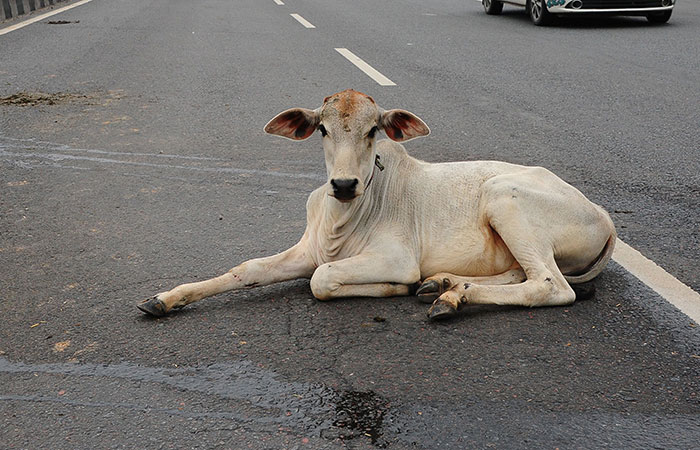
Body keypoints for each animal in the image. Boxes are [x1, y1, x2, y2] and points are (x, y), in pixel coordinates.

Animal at [135, 89, 612, 320]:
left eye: (372, 131)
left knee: (549, 285)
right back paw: (443, 285)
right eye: (322, 129)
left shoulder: (395, 258)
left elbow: (322, 279)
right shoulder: (305, 250)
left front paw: (395, 289)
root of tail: (605, 219)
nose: (344, 183)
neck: (340, 220)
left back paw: (450, 299)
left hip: (504, 198)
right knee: (519, 273)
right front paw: (166, 299)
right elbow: (246, 270)